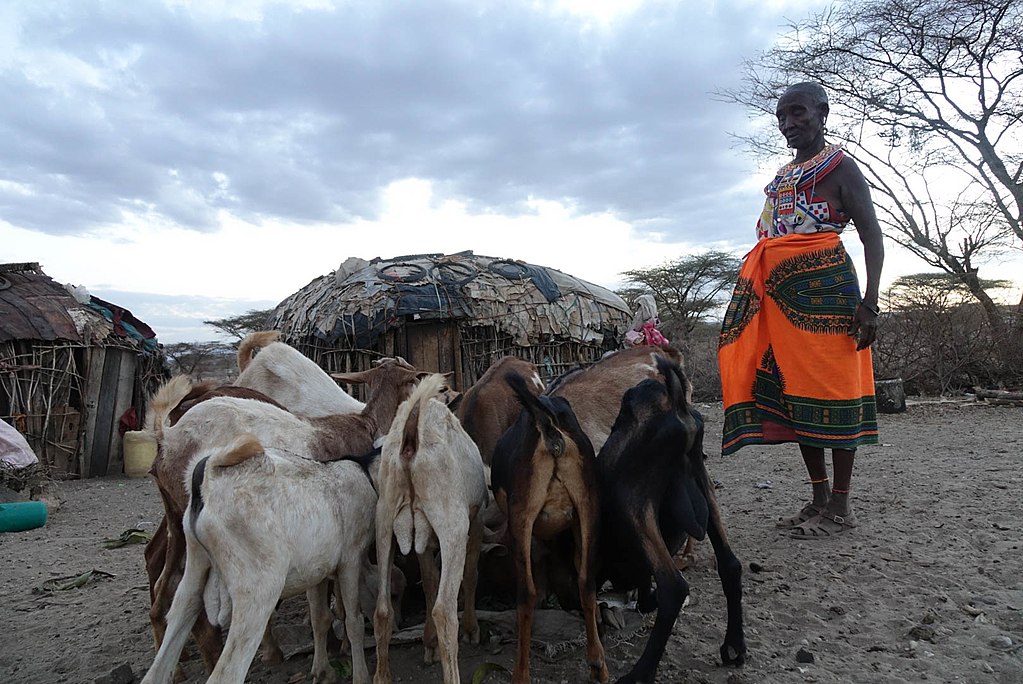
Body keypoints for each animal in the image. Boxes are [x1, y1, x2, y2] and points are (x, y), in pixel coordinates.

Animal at [140, 434, 375, 684]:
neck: (364, 471)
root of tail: (209, 477)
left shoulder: (316, 569)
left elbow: (320, 618)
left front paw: (322, 671)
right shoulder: (351, 557)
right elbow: (354, 621)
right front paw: (361, 676)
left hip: (194, 565)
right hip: (257, 589)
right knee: (227, 673)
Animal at [373, 374, 488, 684]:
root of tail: (411, 434)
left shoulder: (421, 538)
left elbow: (428, 581)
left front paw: (429, 644)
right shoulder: (475, 520)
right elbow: (470, 573)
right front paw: (471, 630)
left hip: (385, 518)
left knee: (383, 609)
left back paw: (382, 676)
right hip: (452, 522)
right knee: (444, 610)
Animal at [491, 373, 608, 684]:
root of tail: (548, 424)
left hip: (522, 518)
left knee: (526, 594)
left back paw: (520, 674)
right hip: (588, 506)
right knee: (586, 581)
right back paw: (598, 662)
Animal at [596, 355, 746, 683]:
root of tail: (675, 403)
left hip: (632, 499)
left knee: (674, 587)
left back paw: (640, 672)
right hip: (704, 481)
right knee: (730, 565)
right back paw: (734, 645)